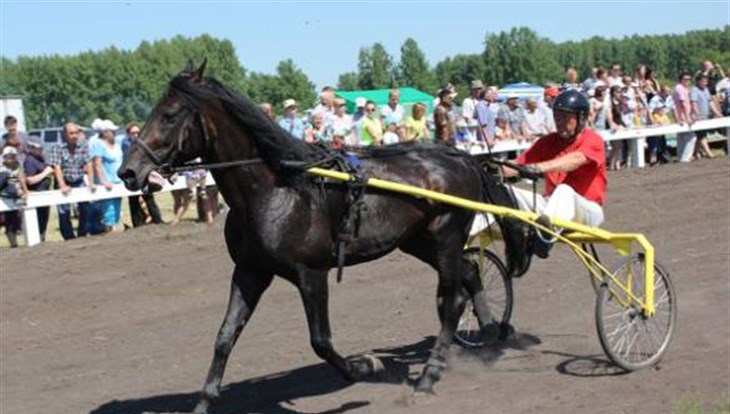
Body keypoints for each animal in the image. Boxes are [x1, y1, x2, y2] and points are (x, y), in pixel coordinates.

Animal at [121, 59, 528, 412]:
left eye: (170, 115)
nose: (128, 171)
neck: (275, 190)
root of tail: (462, 157)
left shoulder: (311, 272)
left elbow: (321, 342)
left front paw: (366, 366)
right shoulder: (251, 270)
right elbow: (225, 336)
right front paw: (204, 402)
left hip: (445, 236)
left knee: (450, 300)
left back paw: (429, 375)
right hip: (417, 241)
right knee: (470, 274)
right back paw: (491, 331)